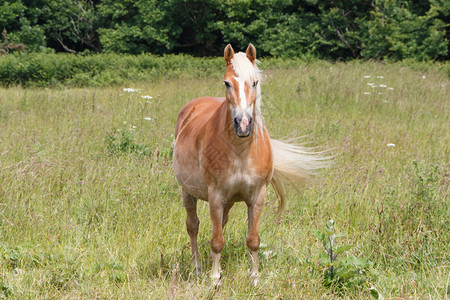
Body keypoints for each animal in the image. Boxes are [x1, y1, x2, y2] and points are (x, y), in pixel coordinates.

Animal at [174, 43, 326, 284]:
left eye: (255, 82)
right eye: (227, 83)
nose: (243, 124)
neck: (241, 152)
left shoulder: (257, 197)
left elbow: (252, 239)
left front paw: (254, 278)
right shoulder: (215, 196)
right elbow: (216, 240)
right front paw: (214, 278)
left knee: (220, 224)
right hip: (188, 192)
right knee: (193, 226)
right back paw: (198, 267)